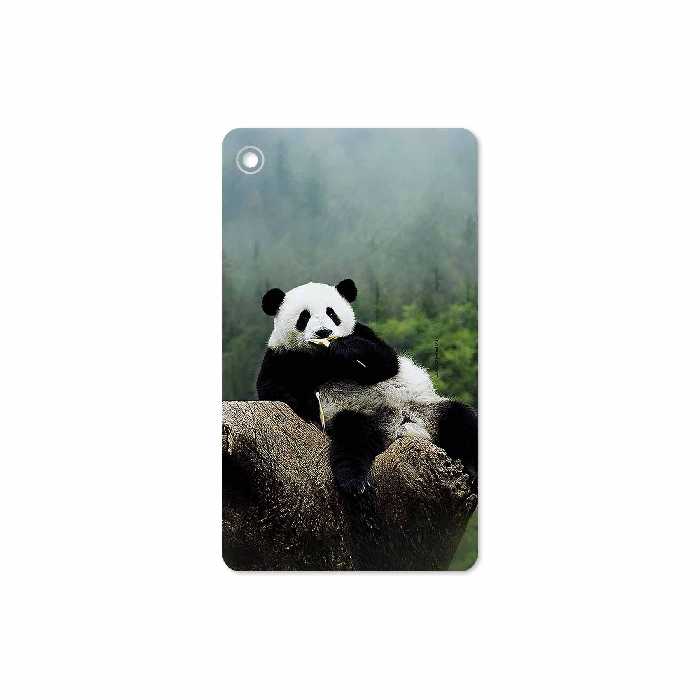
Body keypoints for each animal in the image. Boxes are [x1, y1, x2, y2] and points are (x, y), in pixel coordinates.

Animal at [256, 278, 477, 495]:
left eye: (331, 313)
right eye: (304, 317)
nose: (323, 332)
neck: (323, 357)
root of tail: (400, 426)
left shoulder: (362, 333)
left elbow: (387, 362)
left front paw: (346, 348)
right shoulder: (282, 357)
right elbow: (271, 388)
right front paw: (307, 403)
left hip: (425, 408)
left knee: (461, 420)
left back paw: (473, 469)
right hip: (357, 414)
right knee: (352, 441)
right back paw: (355, 483)